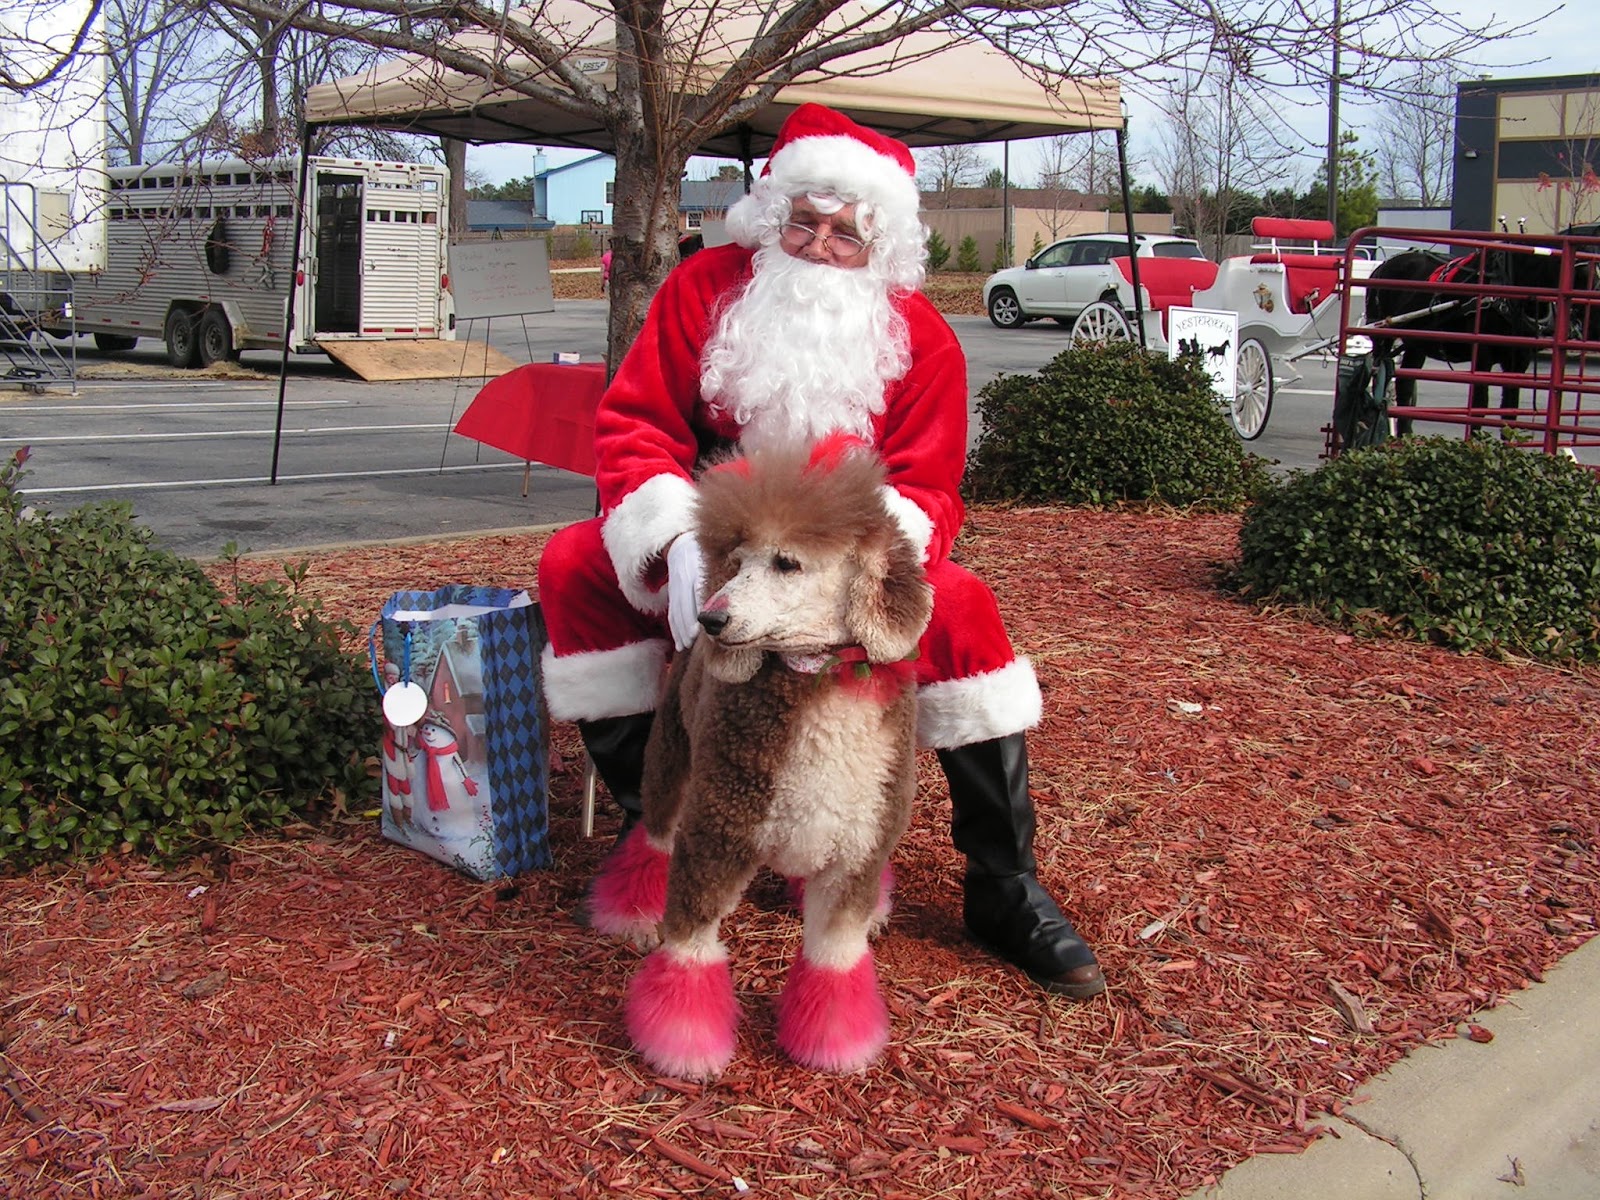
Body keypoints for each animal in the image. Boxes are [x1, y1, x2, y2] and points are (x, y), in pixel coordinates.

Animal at [1363, 244, 1561, 438]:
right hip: (1382, 337)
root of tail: (1384, 264)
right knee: (1379, 377)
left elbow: (1510, 411)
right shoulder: (1483, 356)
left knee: (1405, 384)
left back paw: (1405, 435)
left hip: (1416, 343)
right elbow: (1480, 405)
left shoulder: (1518, 362)